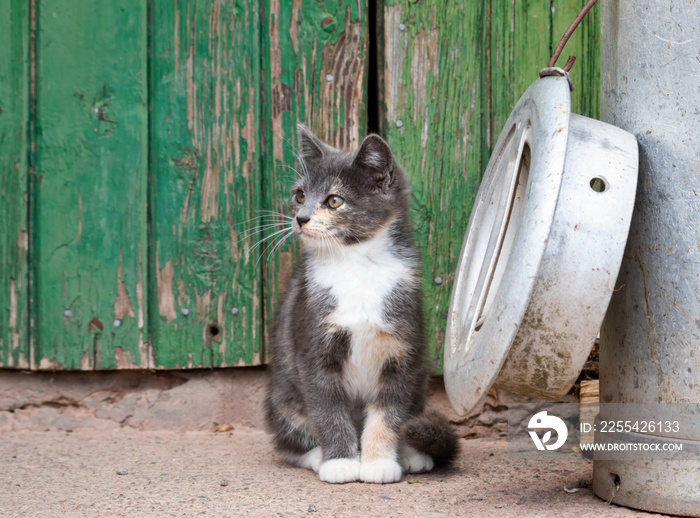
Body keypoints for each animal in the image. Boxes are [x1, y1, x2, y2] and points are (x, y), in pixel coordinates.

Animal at [266, 124, 456, 486]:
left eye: (334, 200)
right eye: (300, 195)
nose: (300, 218)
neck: (355, 264)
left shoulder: (402, 350)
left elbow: (389, 411)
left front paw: (379, 461)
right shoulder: (312, 349)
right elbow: (328, 408)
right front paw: (340, 462)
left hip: (420, 383)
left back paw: (412, 454)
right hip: (281, 393)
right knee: (287, 437)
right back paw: (315, 455)